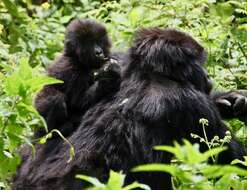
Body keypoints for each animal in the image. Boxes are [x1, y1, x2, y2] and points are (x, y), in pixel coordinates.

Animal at [12, 27, 246, 189]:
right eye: (198, 63)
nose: (207, 77)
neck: (147, 73)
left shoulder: (117, 58)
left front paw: (232, 100)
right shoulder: (189, 104)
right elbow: (234, 163)